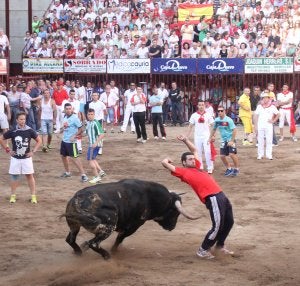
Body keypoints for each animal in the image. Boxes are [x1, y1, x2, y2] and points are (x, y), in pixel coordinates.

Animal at [62, 179, 199, 260]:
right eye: (174, 212)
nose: (172, 227)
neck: (150, 196)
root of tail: (78, 200)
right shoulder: (134, 225)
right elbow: (120, 238)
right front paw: (114, 250)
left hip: (74, 225)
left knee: (70, 239)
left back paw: (79, 252)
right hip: (108, 226)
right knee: (93, 243)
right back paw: (107, 255)